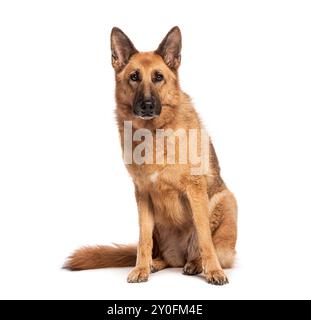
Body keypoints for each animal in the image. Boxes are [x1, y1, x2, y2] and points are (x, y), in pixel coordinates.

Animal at [64, 25, 238, 284]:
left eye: (158, 77)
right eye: (134, 77)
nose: (146, 105)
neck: (154, 133)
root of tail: (179, 257)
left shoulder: (196, 190)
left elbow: (204, 238)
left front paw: (213, 270)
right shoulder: (143, 194)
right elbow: (142, 240)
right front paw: (141, 268)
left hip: (226, 200)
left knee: (205, 247)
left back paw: (196, 264)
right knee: (159, 253)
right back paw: (155, 263)